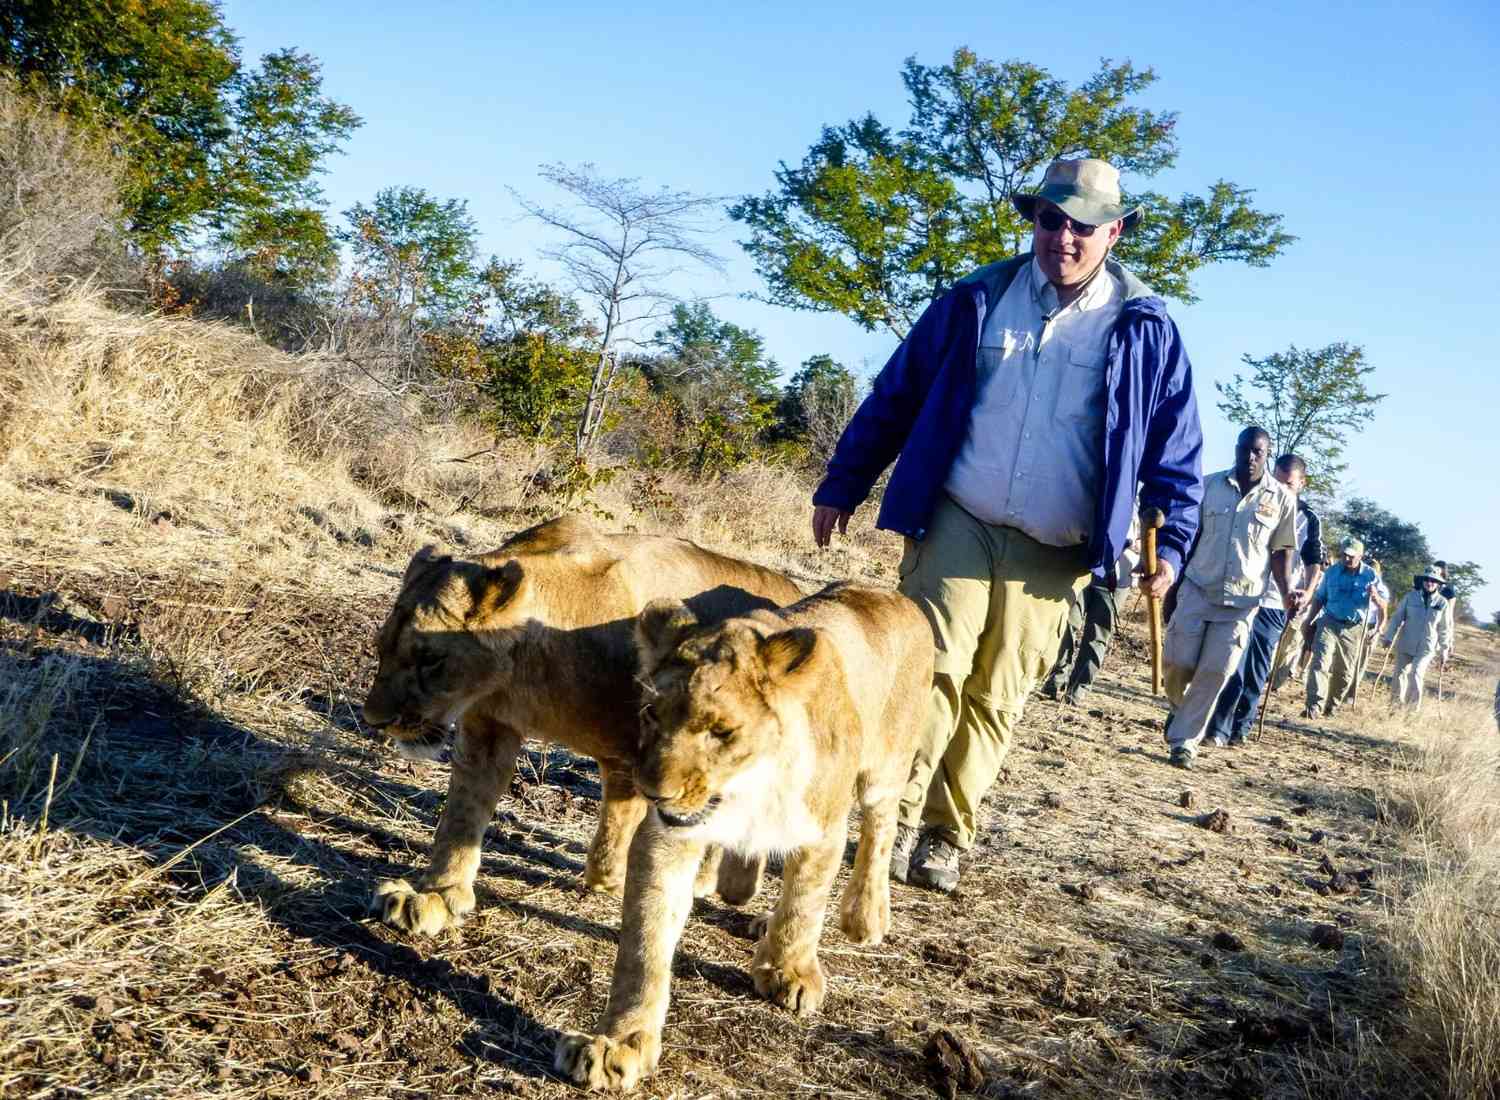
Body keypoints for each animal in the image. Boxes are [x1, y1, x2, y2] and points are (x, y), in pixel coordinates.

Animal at [358, 516, 804, 936]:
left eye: (431, 659)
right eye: (381, 649)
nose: (375, 720)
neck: (524, 673)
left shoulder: (636, 752)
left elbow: (615, 835)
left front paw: (615, 882)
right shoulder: (488, 728)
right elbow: (462, 815)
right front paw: (437, 894)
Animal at [558, 582, 930, 1092]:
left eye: (722, 731)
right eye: (652, 713)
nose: (654, 791)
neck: (748, 785)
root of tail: (888, 593)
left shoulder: (824, 828)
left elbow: (804, 905)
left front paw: (790, 973)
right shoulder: (666, 841)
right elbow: (644, 946)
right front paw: (620, 1044)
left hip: (885, 772)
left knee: (881, 830)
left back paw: (865, 917)